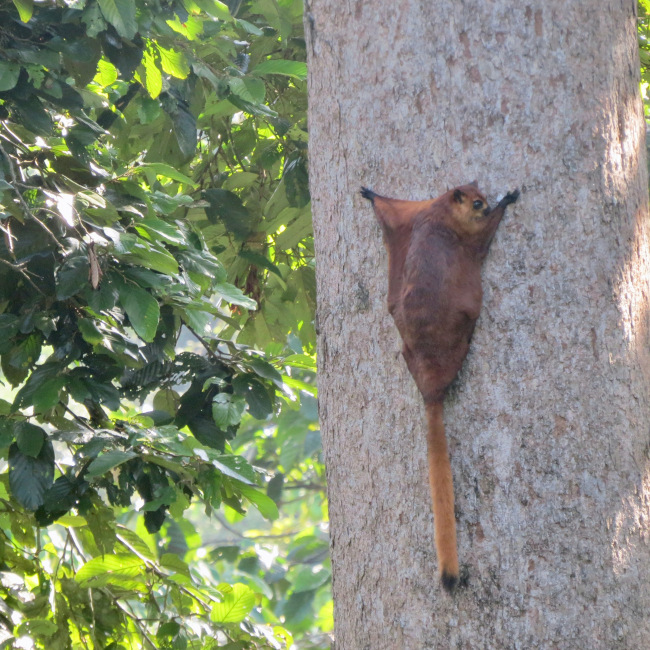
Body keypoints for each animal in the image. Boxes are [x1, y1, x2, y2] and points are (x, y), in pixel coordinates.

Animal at [360, 180, 516, 588]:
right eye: (477, 202)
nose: (487, 204)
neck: (441, 212)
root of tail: (430, 386)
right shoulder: (466, 233)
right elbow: (484, 236)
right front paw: (506, 204)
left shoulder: (414, 214)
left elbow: (391, 211)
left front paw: (371, 195)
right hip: (462, 329)